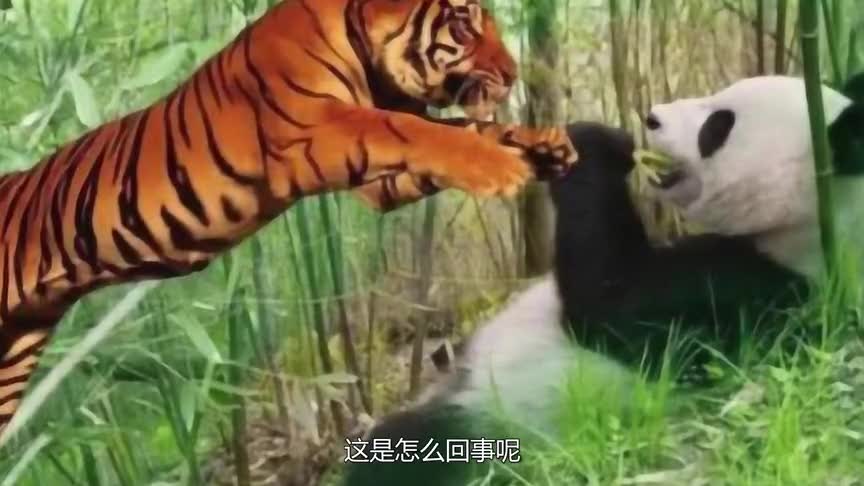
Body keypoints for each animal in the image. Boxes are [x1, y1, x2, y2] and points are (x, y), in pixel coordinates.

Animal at [0, 0, 579, 444]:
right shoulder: (321, 133)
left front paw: (544, 145)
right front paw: (499, 166)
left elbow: (466, 128)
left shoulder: (375, 182)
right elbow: (416, 128)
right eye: (462, 24)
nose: (514, 75)